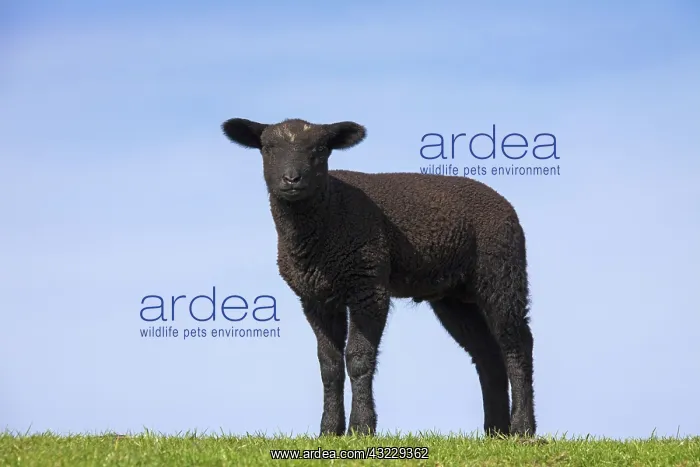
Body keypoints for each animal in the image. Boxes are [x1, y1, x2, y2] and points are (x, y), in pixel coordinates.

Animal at [220, 117, 536, 438]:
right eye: (268, 148)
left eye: (320, 149)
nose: (292, 179)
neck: (329, 214)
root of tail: (504, 204)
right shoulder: (315, 298)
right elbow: (329, 364)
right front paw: (329, 431)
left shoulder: (368, 286)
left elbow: (358, 358)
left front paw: (361, 427)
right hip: (454, 297)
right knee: (486, 353)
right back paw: (496, 430)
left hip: (501, 270)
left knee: (517, 344)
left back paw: (523, 428)